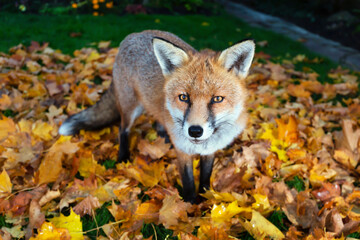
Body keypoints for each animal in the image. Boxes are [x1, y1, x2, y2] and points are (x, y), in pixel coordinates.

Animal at [59, 29, 255, 202]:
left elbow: (205, 177)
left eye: (217, 99)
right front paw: (190, 206)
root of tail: (134, 34)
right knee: (123, 129)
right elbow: (188, 182)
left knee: (158, 123)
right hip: (131, 108)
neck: (201, 145)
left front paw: (205, 199)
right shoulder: (183, 151)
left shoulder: (210, 151)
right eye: (184, 97)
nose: (195, 131)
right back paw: (123, 157)